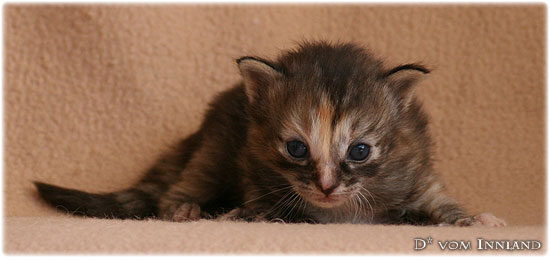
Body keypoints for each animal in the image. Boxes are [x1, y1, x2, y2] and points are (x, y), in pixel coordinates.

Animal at [33, 40, 508, 226]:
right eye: (297, 148)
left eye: (359, 151)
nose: (327, 186)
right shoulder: (252, 165)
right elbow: (268, 207)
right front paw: (242, 215)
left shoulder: (416, 169)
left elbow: (439, 203)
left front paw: (473, 218)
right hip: (214, 146)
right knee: (183, 185)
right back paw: (184, 209)